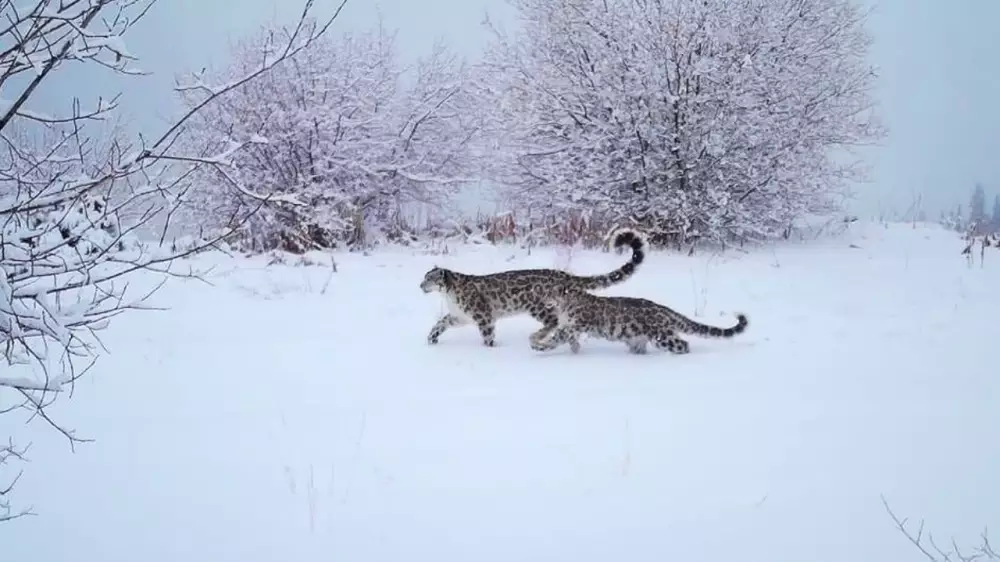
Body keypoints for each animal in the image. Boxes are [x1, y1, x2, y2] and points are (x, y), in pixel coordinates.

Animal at [420, 228, 648, 348]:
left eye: (429, 278)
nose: (420, 285)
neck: (449, 296)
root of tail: (563, 275)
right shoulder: (459, 316)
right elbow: (440, 323)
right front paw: (431, 338)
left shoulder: (482, 315)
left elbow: (487, 334)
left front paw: (490, 348)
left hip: (536, 306)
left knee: (553, 321)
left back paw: (538, 336)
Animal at [529, 285, 749, 355]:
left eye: (547, 290)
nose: (539, 296)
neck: (563, 308)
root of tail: (665, 310)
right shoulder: (569, 327)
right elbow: (566, 339)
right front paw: (574, 350)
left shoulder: (573, 326)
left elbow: (556, 338)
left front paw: (538, 346)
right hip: (636, 339)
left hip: (663, 337)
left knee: (683, 344)